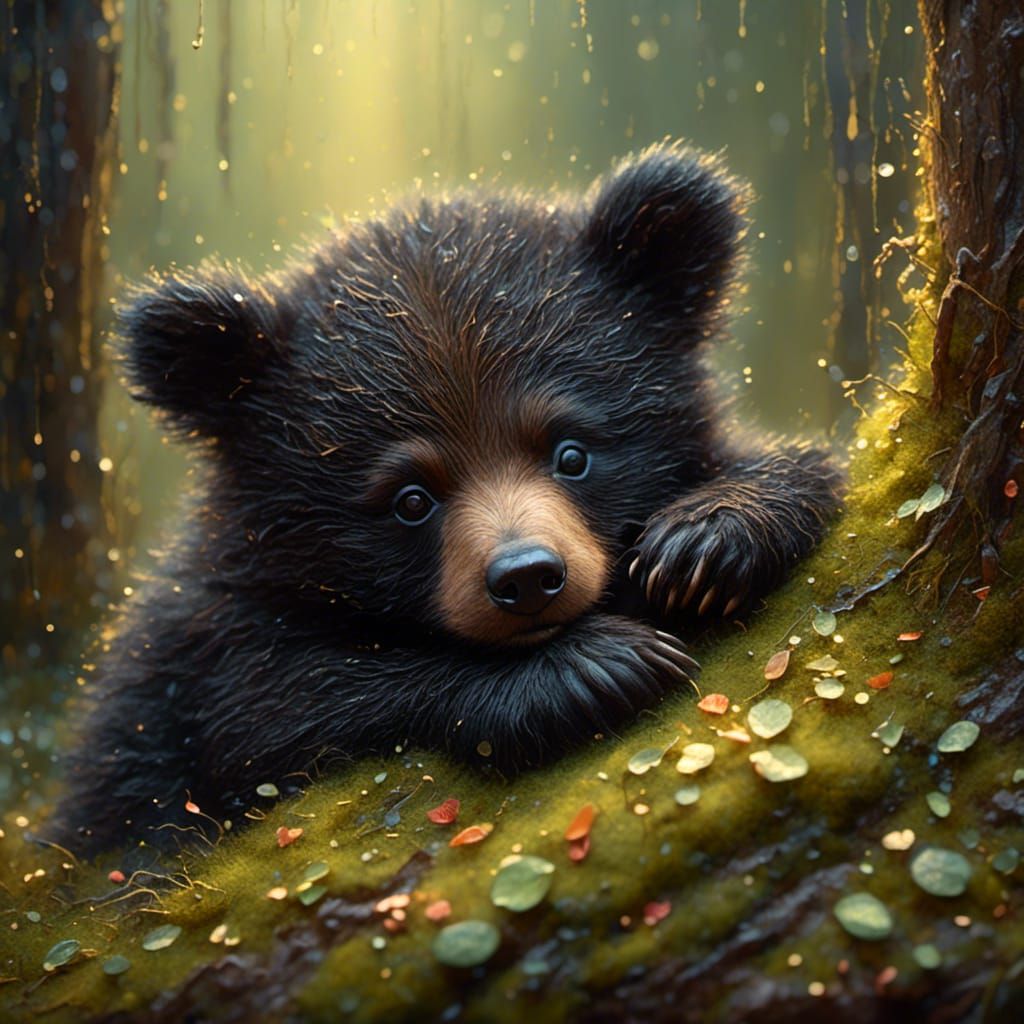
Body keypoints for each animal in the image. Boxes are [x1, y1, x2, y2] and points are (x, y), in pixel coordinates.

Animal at [48, 142, 841, 854]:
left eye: (572, 451)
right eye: (409, 497)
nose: (528, 578)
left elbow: (796, 463)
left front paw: (701, 546)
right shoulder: (199, 654)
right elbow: (275, 704)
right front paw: (597, 666)